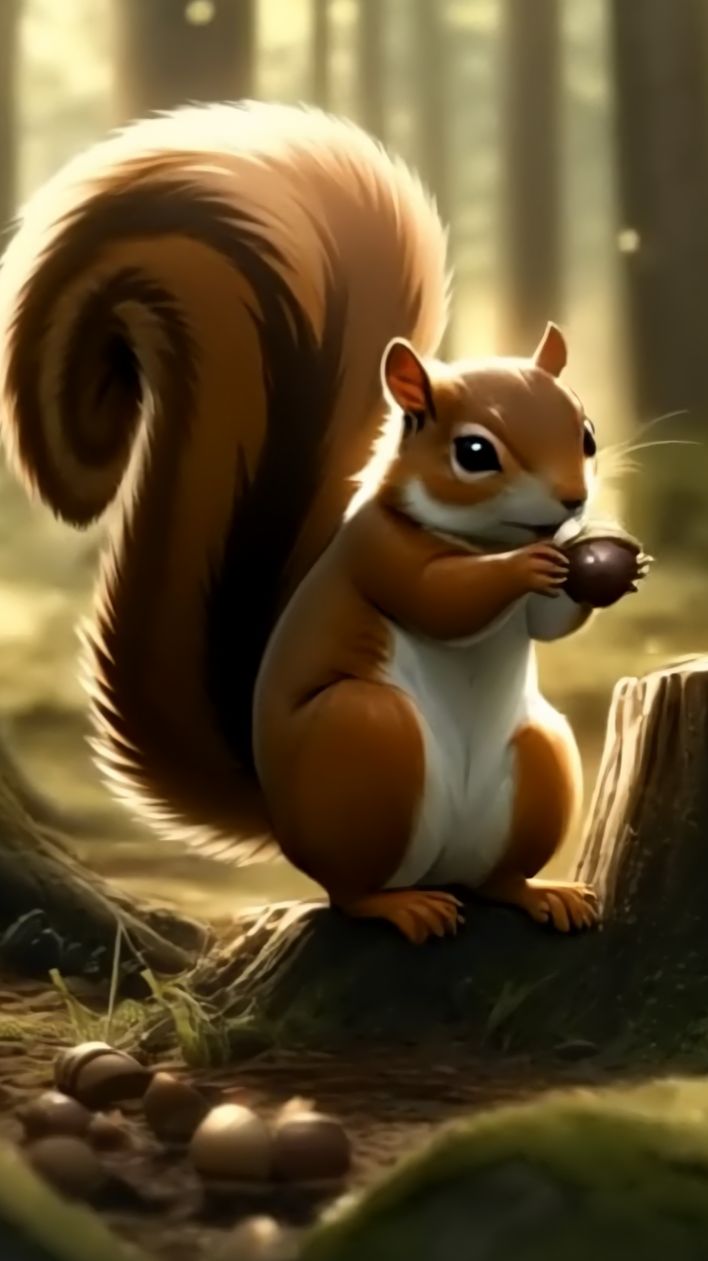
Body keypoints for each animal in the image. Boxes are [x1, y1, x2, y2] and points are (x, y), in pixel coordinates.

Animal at [0, 101, 647, 945]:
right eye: (475, 452)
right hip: (367, 737)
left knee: (492, 876)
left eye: (589, 433)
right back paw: (401, 906)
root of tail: (283, 818)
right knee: (347, 888)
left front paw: (613, 568)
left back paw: (539, 891)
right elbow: (440, 598)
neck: (473, 535)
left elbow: (547, 624)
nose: (572, 501)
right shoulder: (376, 549)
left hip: (540, 756)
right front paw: (521, 569)